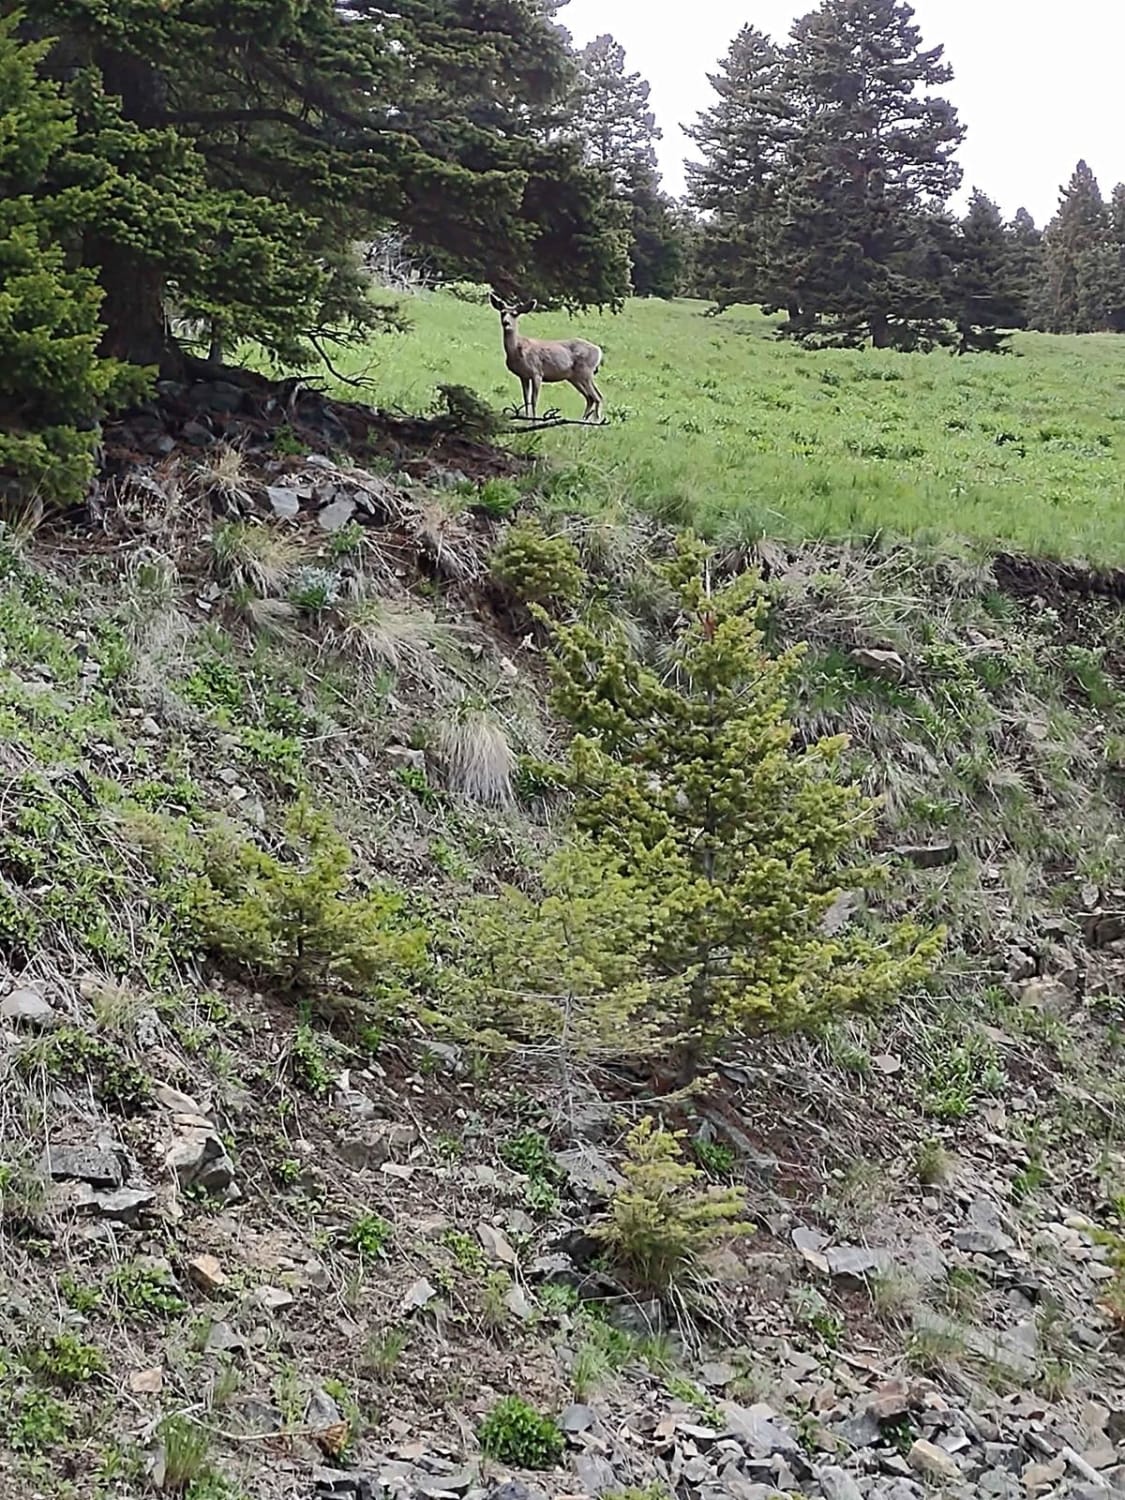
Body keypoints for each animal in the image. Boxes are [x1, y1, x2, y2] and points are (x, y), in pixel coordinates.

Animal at [486, 292, 603, 423]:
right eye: (502, 312)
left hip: (585, 372)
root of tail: (599, 351)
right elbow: (526, 399)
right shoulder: (523, 376)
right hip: (575, 377)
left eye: (515, 314)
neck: (517, 350)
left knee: (597, 397)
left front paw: (534, 421)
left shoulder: (537, 373)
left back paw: (594, 423)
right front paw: (526, 419)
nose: (506, 323)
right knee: (590, 397)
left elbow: (534, 400)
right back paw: (582, 423)